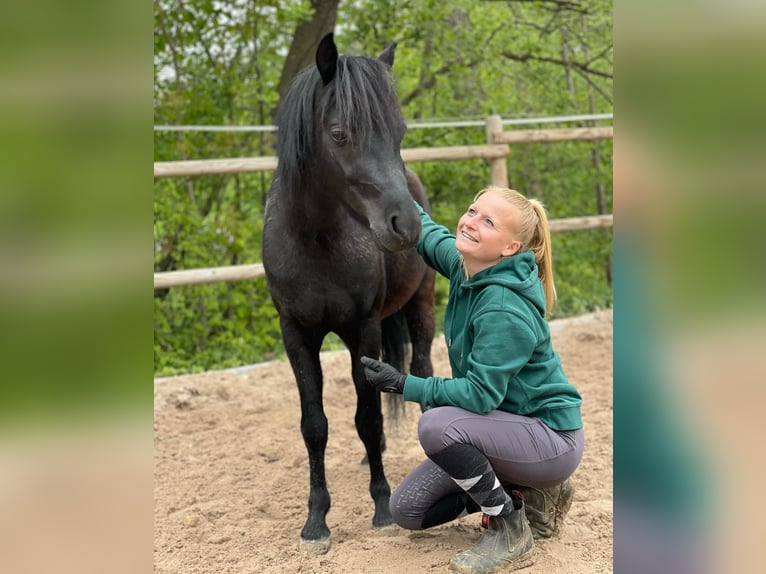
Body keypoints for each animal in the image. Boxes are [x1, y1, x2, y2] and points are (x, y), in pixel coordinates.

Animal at [262, 35, 436, 552]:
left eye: (399, 131)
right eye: (339, 134)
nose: (406, 225)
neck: (315, 238)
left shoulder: (364, 328)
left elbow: (368, 418)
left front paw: (381, 506)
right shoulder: (296, 334)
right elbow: (314, 426)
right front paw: (316, 520)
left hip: (421, 305)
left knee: (423, 369)